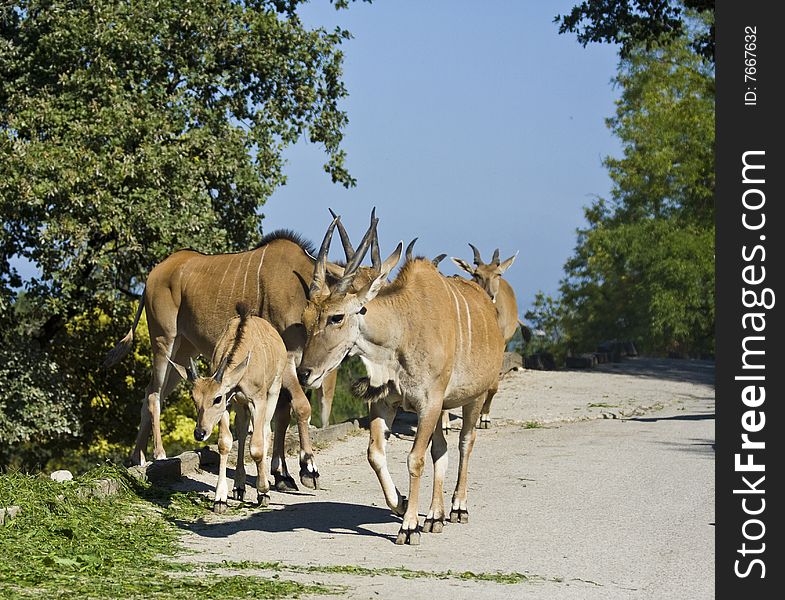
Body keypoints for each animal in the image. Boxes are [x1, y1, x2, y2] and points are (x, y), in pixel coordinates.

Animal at [170, 304, 286, 510]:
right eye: (194, 398)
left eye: (217, 398)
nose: (200, 433)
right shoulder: (231, 402)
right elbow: (225, 443)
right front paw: (220, 498)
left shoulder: (257, 400)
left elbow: (256, 447)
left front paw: (263, 491)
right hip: (242, 405)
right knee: (242, 431)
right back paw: (239, 487)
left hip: (274, 390)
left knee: (265, 432)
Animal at [294, 219, 502, 544]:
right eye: (305, 318)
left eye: (336, 317)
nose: (305, 373)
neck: (403, 329)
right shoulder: (387, 403)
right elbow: (375, 454)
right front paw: (402, 504)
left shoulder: (428, 403)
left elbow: (415, 458)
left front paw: (409, 526)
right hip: (442, 408)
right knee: (441, 449)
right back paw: (435, 515)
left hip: (475, 397)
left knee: (465, 443)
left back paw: (457, 507)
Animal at [448, 245, 520, 432]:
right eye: (477, 274)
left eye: (498, 274)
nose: (490, 294)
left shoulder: (502, 344)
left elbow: (493, 385)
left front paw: (485, 416)